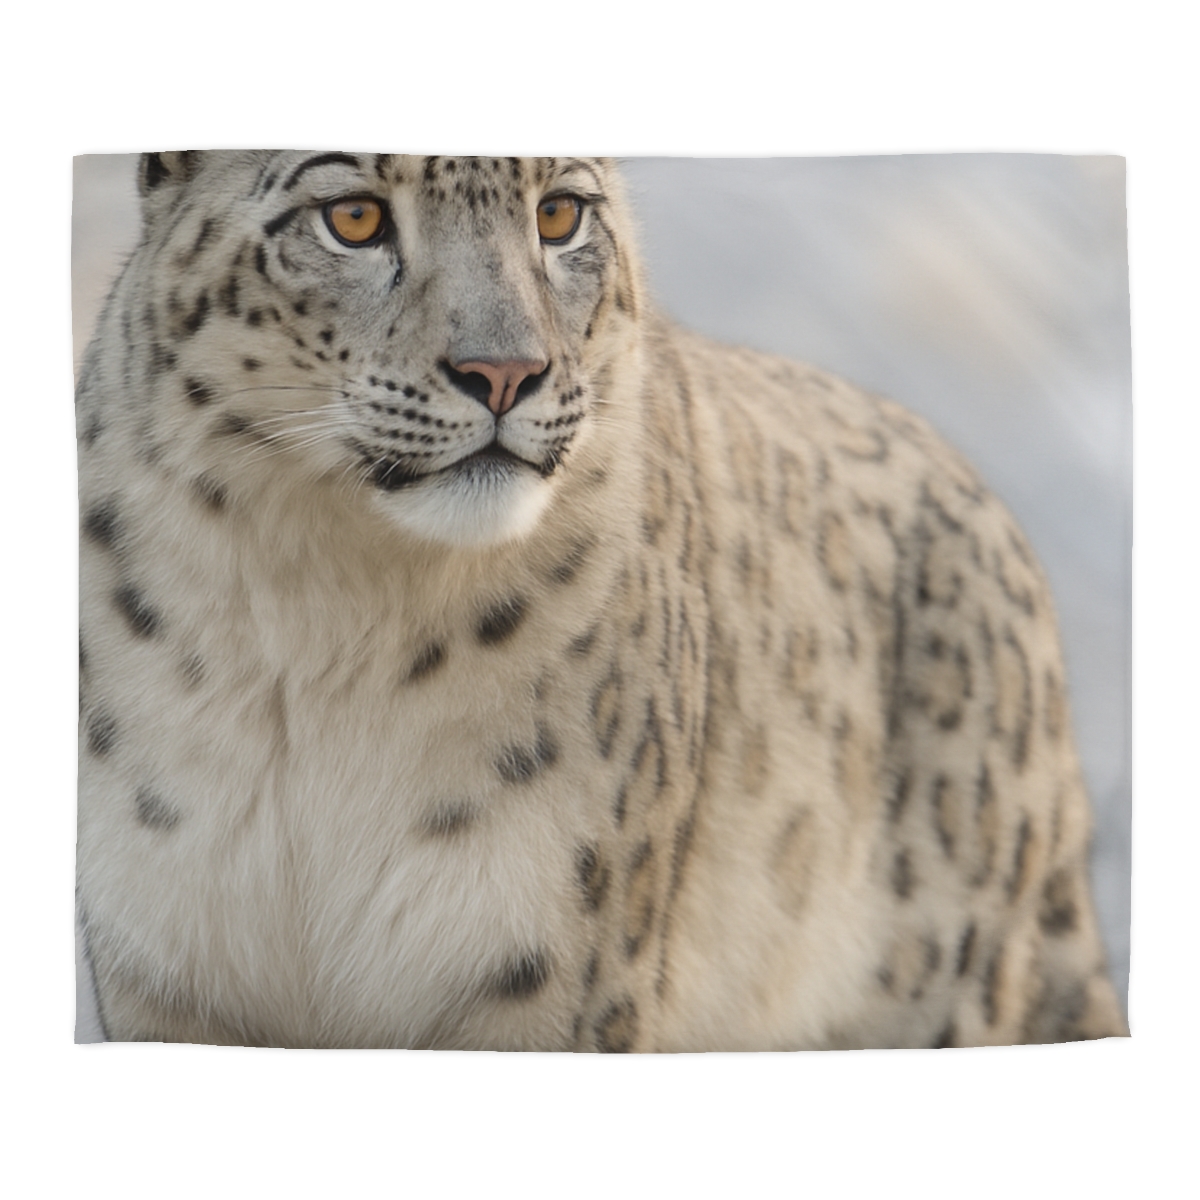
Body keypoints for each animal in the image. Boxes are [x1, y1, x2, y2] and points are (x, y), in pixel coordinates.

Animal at [76, 151, 1127, 1050]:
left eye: (558, 213)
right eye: (355, 217)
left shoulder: (549, 973)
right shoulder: (162, 962)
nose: (506, 372)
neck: (322, 625)